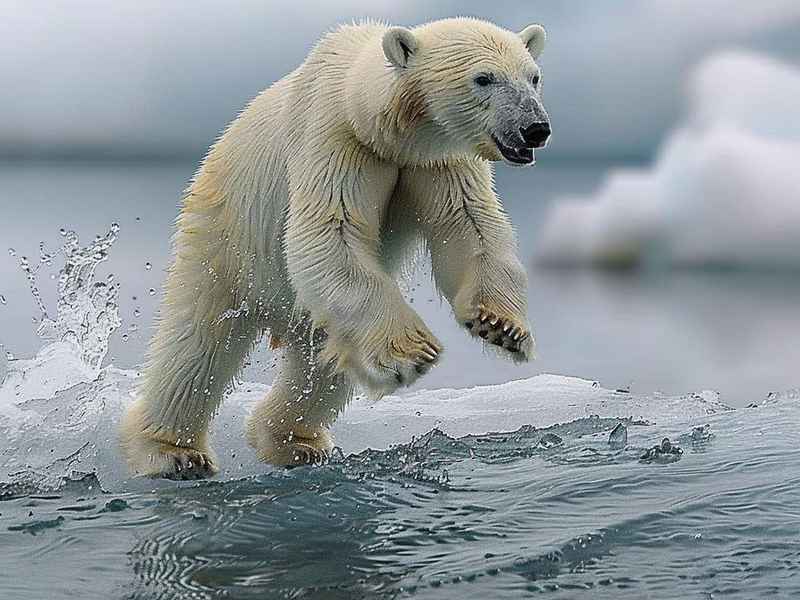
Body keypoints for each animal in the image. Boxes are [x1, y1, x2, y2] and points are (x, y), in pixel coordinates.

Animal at [120, 17, 551, 479]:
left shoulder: (436, 162)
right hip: (226, 238)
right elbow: (329, 233)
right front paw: (412, 352)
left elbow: (471, 228)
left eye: (533, 77)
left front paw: (502, 327)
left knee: (325, 361)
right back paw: (175, 453)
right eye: (484, 78)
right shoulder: (336, 139)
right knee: (196, 344)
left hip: (318, 310)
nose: (535, 129)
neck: (378, 125)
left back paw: (294, 443)